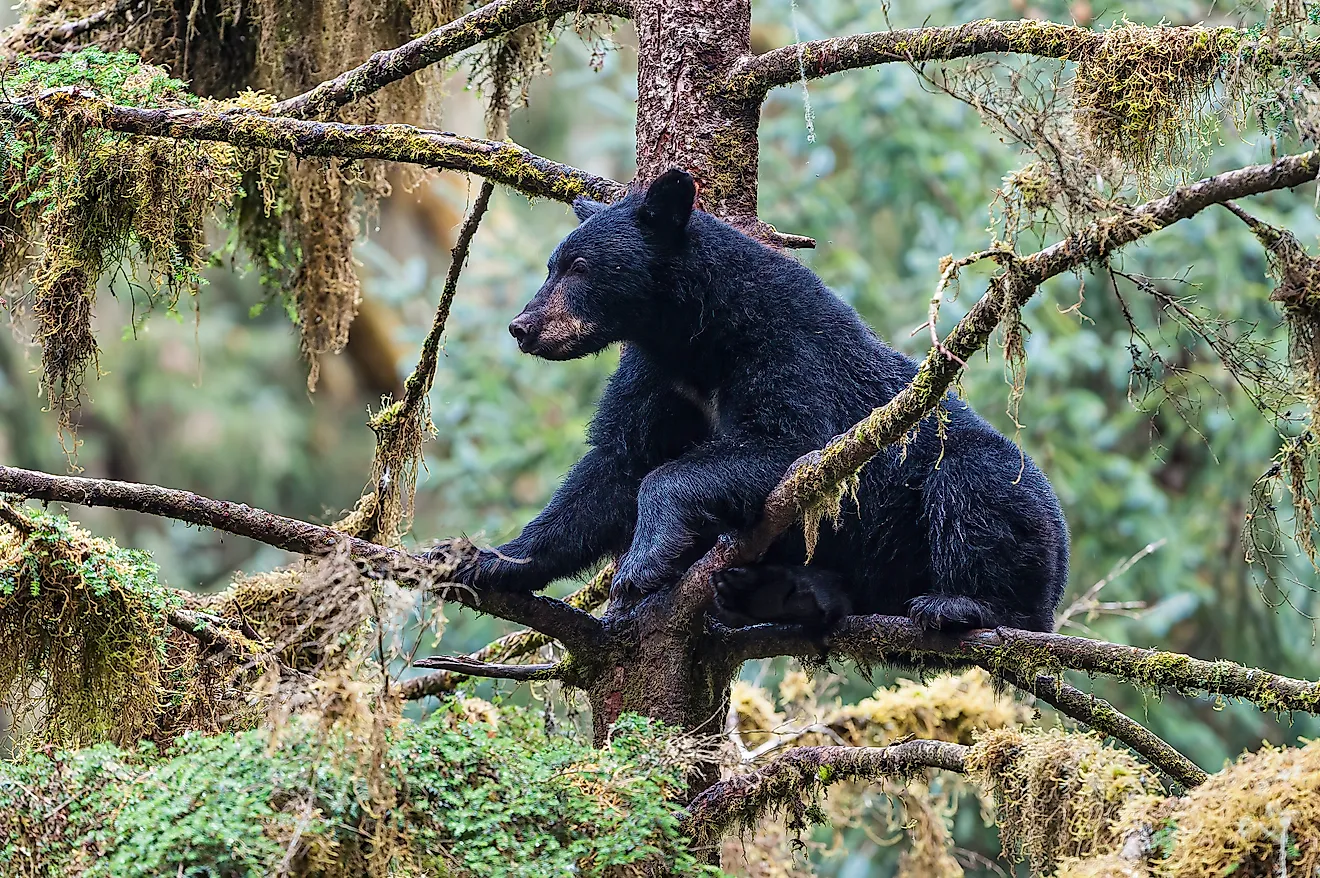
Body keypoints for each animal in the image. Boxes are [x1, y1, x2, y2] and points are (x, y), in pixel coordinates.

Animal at [444, 168, 1069, 633]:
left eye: (579, 267)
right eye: (552, 265)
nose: (522, 327)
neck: (700, 338)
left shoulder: (788, 349)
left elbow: (789, 446)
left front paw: (642, 565)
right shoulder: (656, 376)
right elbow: (611, 468)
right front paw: (490, 560)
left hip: (1007, 508)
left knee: (972, 490)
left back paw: (961, 604)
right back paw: (780, 594)